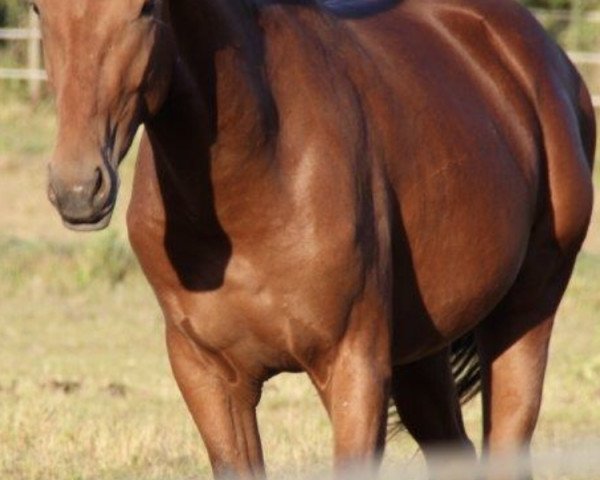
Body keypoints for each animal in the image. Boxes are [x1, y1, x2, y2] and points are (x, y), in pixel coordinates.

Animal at [38, 0, 596, 478]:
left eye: (145, 7)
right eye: (41, 10)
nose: (78, 188)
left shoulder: (354, 369)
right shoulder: (208, 376)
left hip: (524, 316)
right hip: (420, 352)